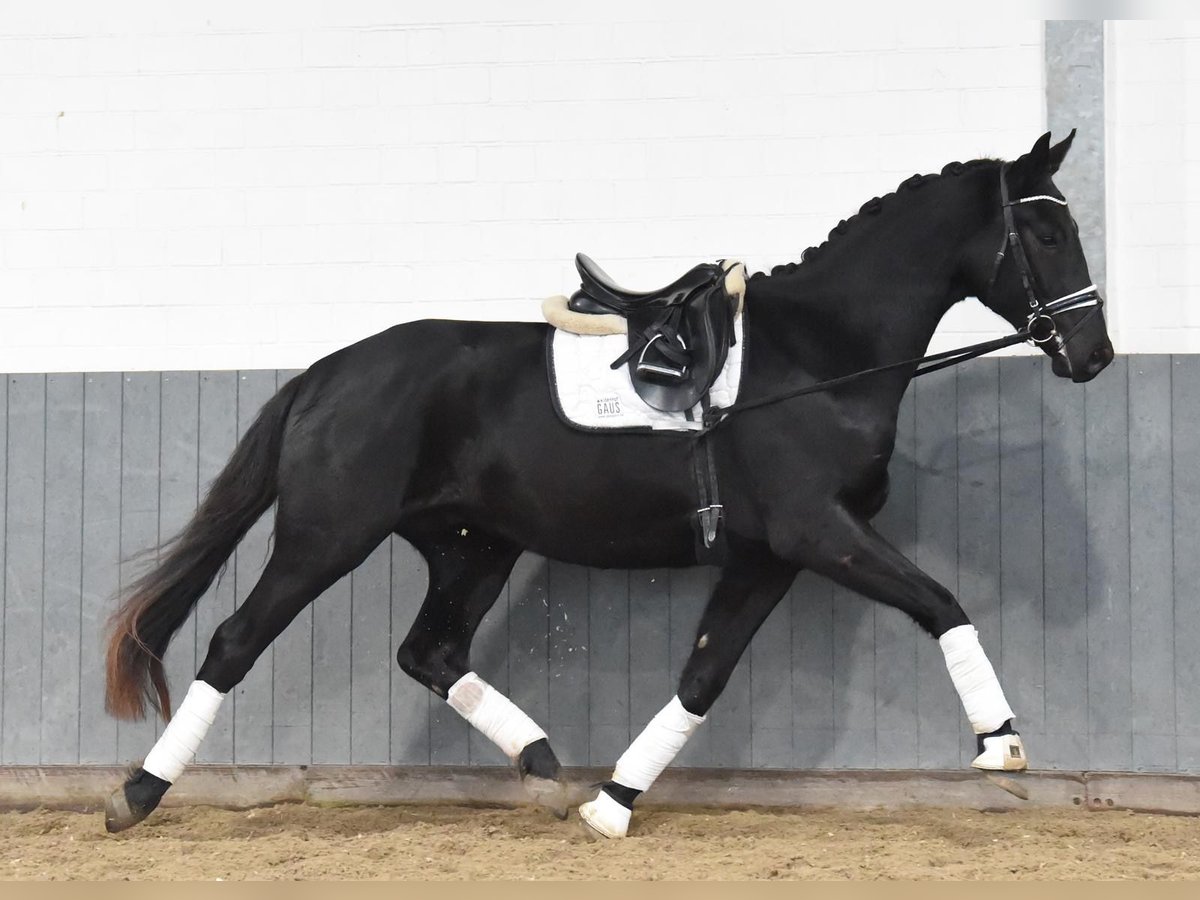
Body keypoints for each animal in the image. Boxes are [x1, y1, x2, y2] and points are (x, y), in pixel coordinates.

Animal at [105, 132, 1113, 840]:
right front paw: (1000, 743)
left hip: (471, 548)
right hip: (328, 537)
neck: (821, 355)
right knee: (235, 642)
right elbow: (941, 602)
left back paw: (551, 772)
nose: (1093, 355)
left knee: (431, 653)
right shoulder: (817, 532)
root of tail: (327, 371)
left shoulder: (768, 555)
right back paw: (137, 794)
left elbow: (704, 673)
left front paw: (614, 804)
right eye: (1047, 229)